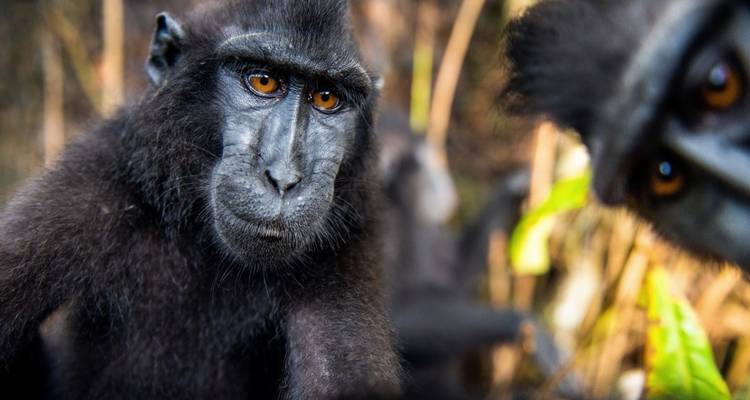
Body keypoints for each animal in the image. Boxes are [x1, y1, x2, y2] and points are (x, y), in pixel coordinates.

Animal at [0, 1, 402, 398]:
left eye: (326, 98)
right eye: (264, 81)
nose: (284, 177)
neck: (202, 238)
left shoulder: (346, 242)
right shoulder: (77, 200)